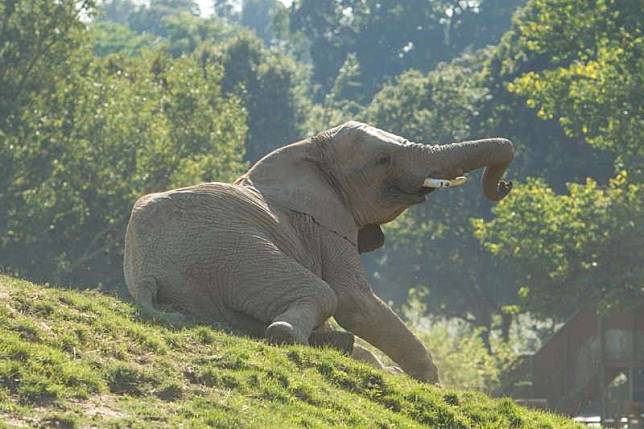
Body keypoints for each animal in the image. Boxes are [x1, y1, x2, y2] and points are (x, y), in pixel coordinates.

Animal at [124, 120, 512, 382]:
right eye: (383, 160)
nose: (505, 186)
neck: (308, 148)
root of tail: (146, 272)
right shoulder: (326, 227)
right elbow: (354, 301)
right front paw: (429, 381)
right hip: (233, 249)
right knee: (323, 294)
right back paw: (296, 338)